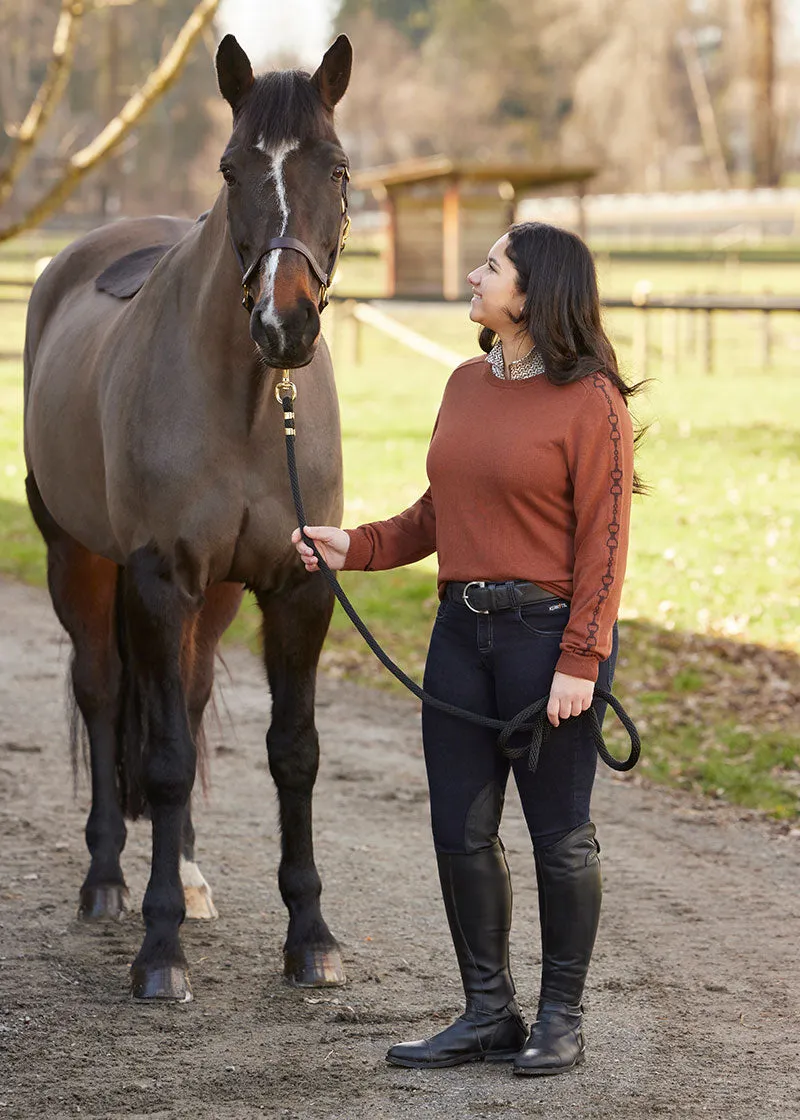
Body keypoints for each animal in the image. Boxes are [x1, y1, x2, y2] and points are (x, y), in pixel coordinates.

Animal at [21, 32, 349, 999]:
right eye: (231, 168)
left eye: (338, 168)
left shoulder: (295, 587)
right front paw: (159, 949)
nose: (285, 325)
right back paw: (106, 882)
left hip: (219, 596)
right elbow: (162, 762)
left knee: (194, 702)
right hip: (79, 562)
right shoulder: (160, 582)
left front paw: (311, 936)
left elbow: (293, 752)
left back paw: (194, 878)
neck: (251, 406)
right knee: (103, 696)